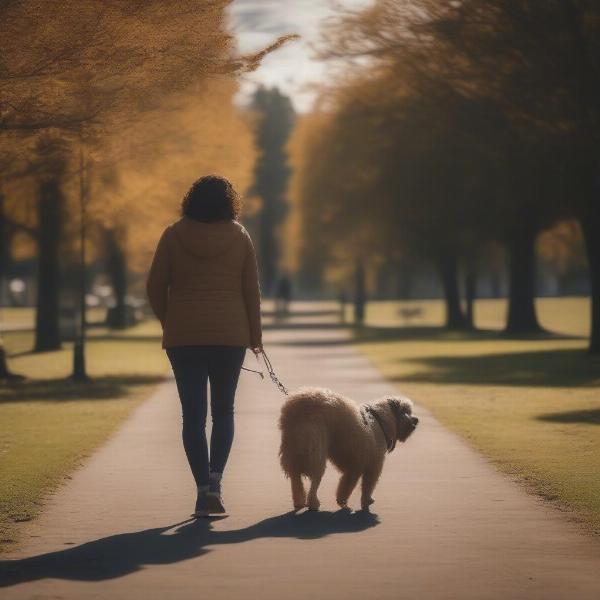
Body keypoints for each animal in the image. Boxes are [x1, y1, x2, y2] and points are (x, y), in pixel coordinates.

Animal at [278, 390, 414, 510]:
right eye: (405, 411)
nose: (416, 421)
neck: (380, 419)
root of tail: (301, 408)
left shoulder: (354, 467)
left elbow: (346, 485)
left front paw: (342, 500)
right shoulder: (371, 466)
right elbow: (366, 486)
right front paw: (365, 501)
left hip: (294, 451)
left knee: (296, 480)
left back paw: (299, 502)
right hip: (315, 451)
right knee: (314, 482)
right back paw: (313, 503)